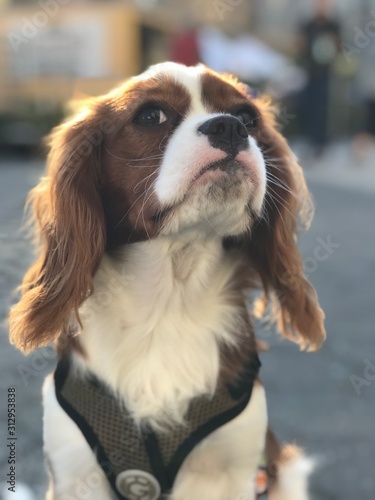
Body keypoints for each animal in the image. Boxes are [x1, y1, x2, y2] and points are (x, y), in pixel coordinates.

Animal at [8, 62, 326, 500]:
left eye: (248, 118)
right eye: (150, 116)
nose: (229, 127)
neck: (169, 299)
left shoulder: (235, 468)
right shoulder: (75, 471)